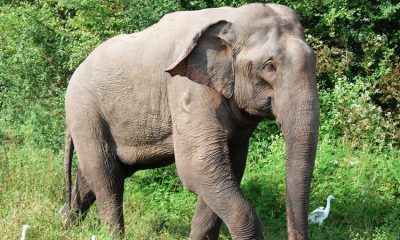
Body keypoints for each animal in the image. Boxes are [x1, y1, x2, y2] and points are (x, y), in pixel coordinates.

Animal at [61, 2, 320, 239]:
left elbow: (226, 169)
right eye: (269, 67)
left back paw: (66, 224)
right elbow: (198, 167)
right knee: (107, 178)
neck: (232, 17)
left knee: (95, 176)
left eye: (315, 61)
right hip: (85, 111)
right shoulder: (188, 89)